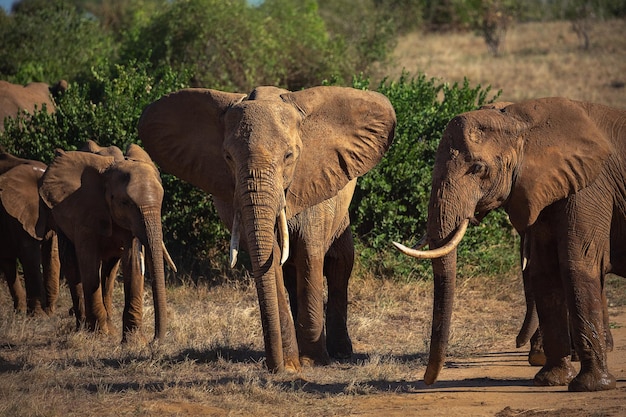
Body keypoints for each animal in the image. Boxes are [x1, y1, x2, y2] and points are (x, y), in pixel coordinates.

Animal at [0, 148, 59, 314]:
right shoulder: (18, 213)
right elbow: (30, 255)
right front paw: (40, 316)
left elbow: (51, 253)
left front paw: (49, 314)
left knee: (8, 262)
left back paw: (19, 313)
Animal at [40, 141, 169, 342]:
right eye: (125, 202)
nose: (154, 341)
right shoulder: (84, 210)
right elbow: (89, 263)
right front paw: (100, 335)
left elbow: (132, 262)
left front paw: (133, 342)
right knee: (71, 263)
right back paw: (83, 329)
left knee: (109, 272)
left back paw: (110, 330)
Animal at [392, 96, 624, 390]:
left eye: (478, 168)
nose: (425, 380)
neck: (522, 123)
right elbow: (545, 273)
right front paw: (550, 379)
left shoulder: (591, 188)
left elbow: (577, 265)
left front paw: (590, 386)